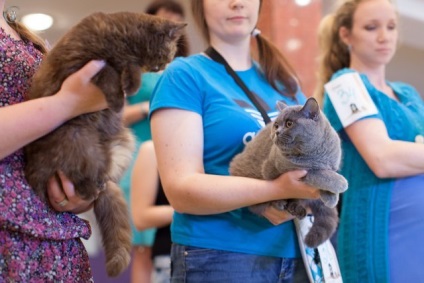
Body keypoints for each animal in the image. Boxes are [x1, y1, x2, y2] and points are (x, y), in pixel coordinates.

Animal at [23, 11, 186, 278]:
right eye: (169, 53)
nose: (163, 66)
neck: (123, 38)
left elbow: (128, 71)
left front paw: (130, 85)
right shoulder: (88, 63)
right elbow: (109, 75)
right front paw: (120, 99)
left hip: (124, 142)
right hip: (78, 139)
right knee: (84, 179)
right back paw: (92, 187)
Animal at [232, 97, 348, 248]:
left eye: (289, 123)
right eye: (276, 125)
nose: (277, 132)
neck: (316, 154)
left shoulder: (332, 164)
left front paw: (331, 196)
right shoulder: (290, 169)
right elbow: (320, 174)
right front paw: (340, 184)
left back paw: (297, 209)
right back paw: (281, 203)